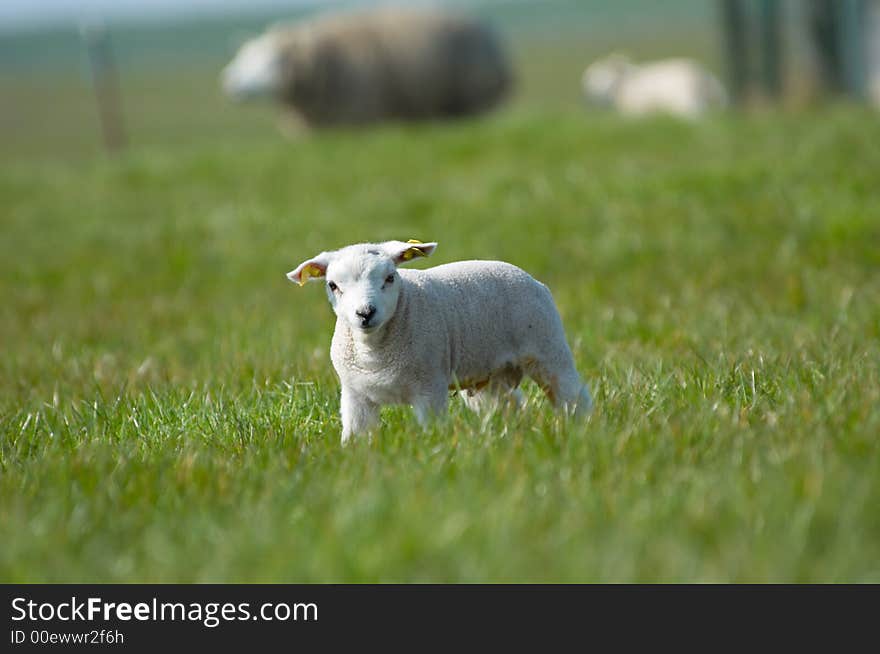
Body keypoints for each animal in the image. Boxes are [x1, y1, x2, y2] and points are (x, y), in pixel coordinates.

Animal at [288, 238, 592, 444]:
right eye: (333, 285)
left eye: (390, 277)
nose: (365, 313)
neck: (374, 352)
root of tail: (533, 279)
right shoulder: (355, 396)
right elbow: (357, 437)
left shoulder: (429, 388)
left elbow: (430, 431)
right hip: (491, 375)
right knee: (508, 405)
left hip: (548, 345)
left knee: (573, 394)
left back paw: (585, 428)